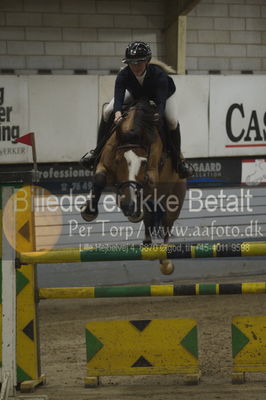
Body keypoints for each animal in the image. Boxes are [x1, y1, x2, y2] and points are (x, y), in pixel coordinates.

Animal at [81, 100, 187, 276]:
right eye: (118, 161)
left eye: (143, 162)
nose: (129, 205)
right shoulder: (104, 164)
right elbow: (100, 178)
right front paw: (89, 211)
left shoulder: (152, 174)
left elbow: (146, 182)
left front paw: (132, 207)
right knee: (149, 217)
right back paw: (147, 242)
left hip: (176, 197)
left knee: (167, 223)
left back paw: (165, 262)